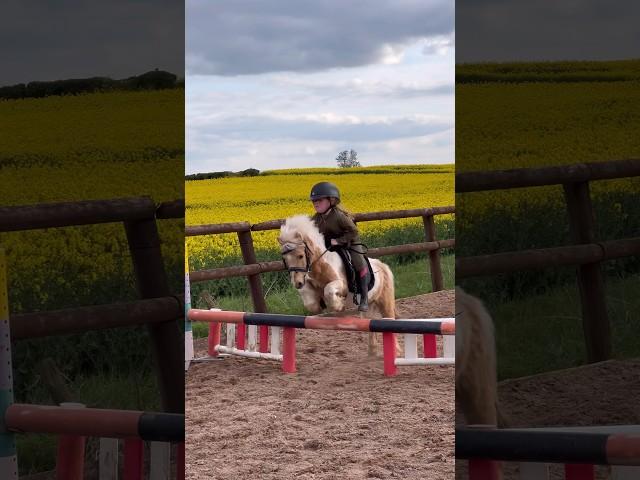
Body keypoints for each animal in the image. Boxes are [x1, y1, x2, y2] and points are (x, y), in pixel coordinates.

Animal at [278, 216, 398, 354]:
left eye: (300, 256)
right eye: (285, 259)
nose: (297, 283)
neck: (321, 265)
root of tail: (383, 266)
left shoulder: (342, 285)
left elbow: (329, 291)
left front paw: (339, 304)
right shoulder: (307, 284)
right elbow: (311, 303)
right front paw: (321, 305)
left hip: (385, 302)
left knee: (389, 320)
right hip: (371, 306)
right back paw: (373, 352)